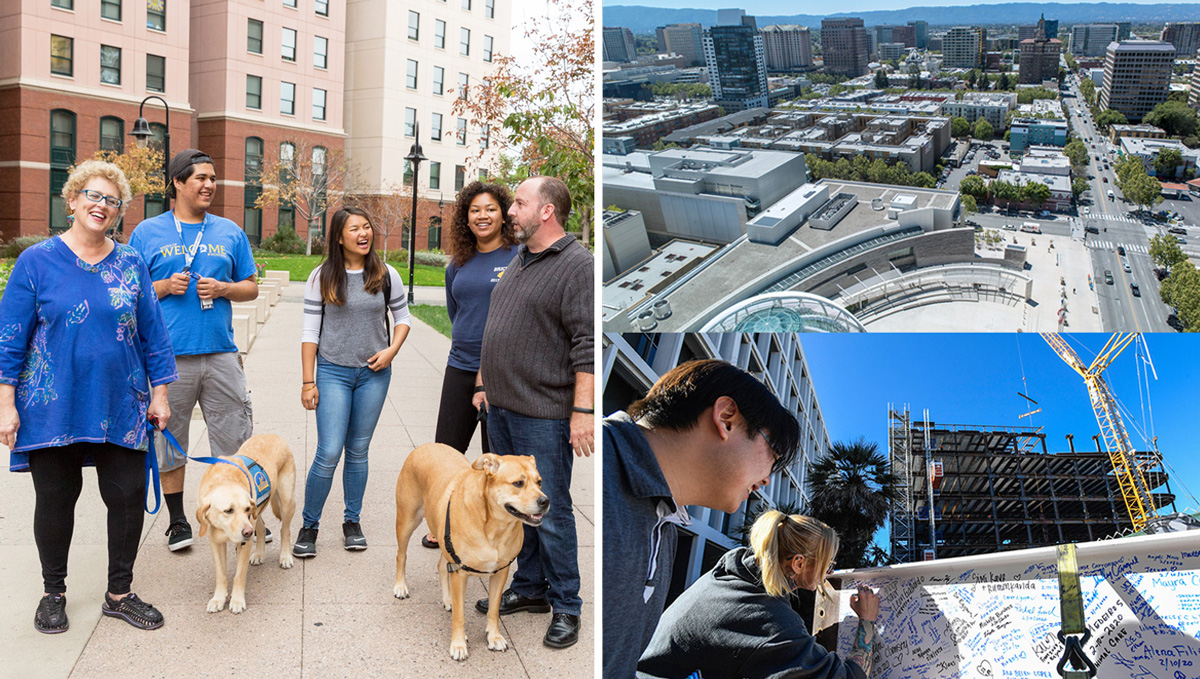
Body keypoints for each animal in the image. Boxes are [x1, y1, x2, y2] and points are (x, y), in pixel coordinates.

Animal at [194, 436, 295, 619]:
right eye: (228, 510)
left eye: (246, 509)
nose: (247, 532)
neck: (224, 480)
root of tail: (274, 435)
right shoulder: (215, 543)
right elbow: (221, 575)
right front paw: (219, 599)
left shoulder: (245, 542)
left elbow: (239, 576)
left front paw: (236, 601)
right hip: (258, 512)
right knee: (261, 528)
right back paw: (259, 554)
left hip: (285, 502)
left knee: (285, 530)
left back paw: (285, 557)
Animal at [396, 443, 549, 662]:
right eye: (518, 483)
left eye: (539, 482)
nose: (545, 501)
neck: (494, 526)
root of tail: (425, 445)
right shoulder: (460, 573)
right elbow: (460, 616)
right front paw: (458, 645)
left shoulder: (500, 572)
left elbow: (493, 609)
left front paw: (494, 637)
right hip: (407, 520)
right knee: (401, 555)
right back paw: (401, 587)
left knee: (441, 565)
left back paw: (448, 599)